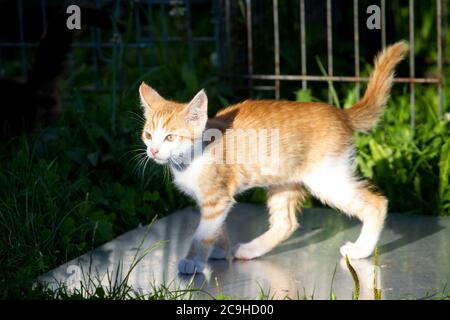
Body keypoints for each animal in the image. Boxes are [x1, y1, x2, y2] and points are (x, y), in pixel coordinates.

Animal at [138, 40, 408, 276]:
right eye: (149, 135)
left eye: (171, 137)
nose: (153, 151)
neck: (193, 157)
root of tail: (341, 114)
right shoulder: (216, 200)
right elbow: (214, 227)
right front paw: (219, 248)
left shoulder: (216, 198)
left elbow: (202, 233)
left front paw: (193, 260)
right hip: (283, 181)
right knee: (285, 223)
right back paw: (249, 250)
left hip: (326, 179)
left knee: (376, 203)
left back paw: (361, 250)